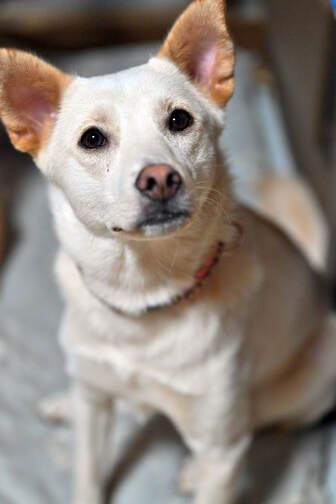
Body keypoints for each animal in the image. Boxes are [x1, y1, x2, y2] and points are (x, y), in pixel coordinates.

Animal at [0, 1, 336, 502]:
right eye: (92, 138)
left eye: (179, 120)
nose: (159, 179)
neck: (144, 293)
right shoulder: (95, 407)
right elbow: (87, 474)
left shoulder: (222, 447)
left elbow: (225, 455)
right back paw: (68, 403)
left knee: (264, 420)